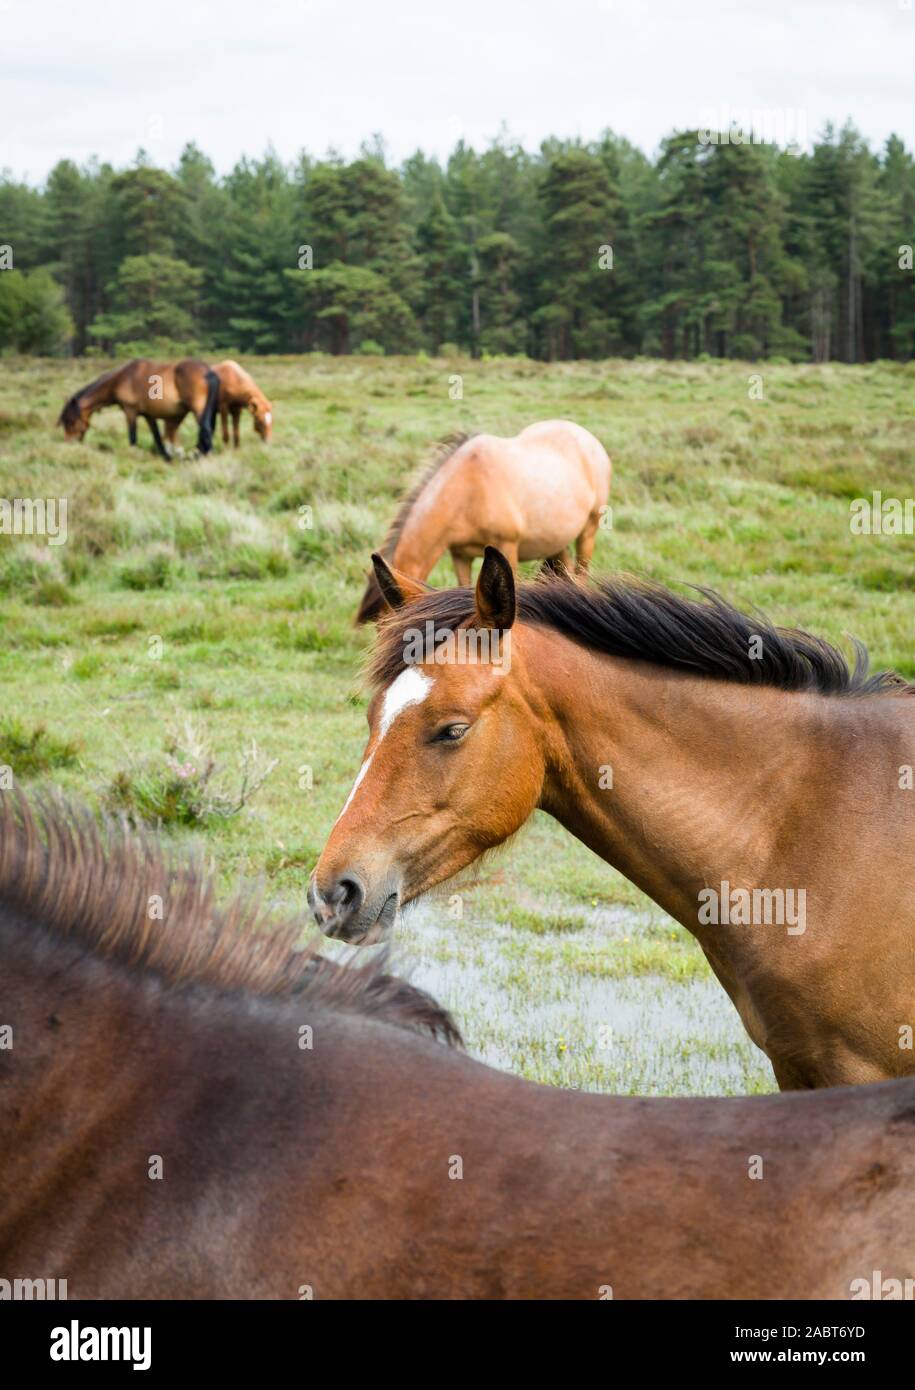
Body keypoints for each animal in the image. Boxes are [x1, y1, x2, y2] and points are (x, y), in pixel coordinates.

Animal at [58, 355, 219, 458]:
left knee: (205, 429)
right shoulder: (148, 415)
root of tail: (207, 371)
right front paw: (166, 457)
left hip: (199, 410)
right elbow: (157, 437)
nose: (68, 444)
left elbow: (133, 437)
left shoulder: (130, 412)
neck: (122, 379)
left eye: (70, 421)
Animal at [353, 419, 609, 622]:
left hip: (588, 531)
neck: (469, 489)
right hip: (556, 543)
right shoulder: (460, 555)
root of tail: (589, 439)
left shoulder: (507, 548)